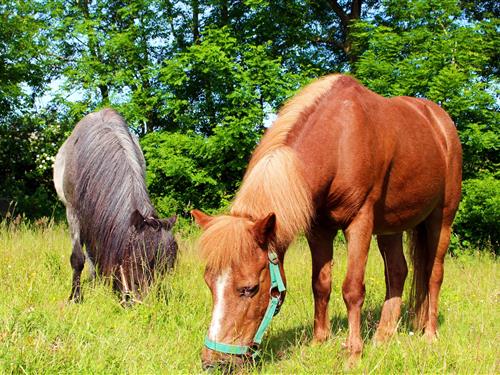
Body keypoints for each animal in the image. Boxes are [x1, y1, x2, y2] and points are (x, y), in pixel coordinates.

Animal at [191, 74, 460, 370]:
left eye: (250, 288)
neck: (339, 139)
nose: (214, 362)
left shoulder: (360, 223)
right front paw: (319, 342)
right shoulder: (319, 230)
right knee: (398, 272)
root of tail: (440, 122)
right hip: (391, 226)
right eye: (209, 282)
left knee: (433, 275)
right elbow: (320, 285)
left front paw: (353, 354)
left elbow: (352, 289)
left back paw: (430, 335)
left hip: (442, 220)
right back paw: (383, 336)